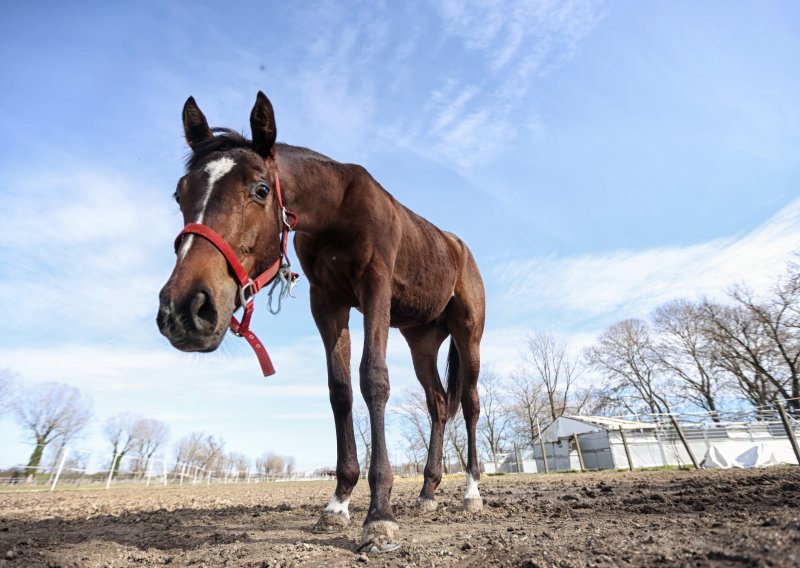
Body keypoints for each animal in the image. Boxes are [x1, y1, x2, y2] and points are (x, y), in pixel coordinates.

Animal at [154, 91, 484, 552]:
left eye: (260, 190)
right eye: (179, 193)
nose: (184, 309)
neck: (336, 211)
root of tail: (457, 246)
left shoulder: (375, 290)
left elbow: (373, 380)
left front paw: (379, 517)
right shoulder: (327, 304)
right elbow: (340, 390)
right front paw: (338, 503)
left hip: (468, 334)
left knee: (469, 404)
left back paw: (472, 491)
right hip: (421, 340)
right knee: (437, 404)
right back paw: (427, 492)